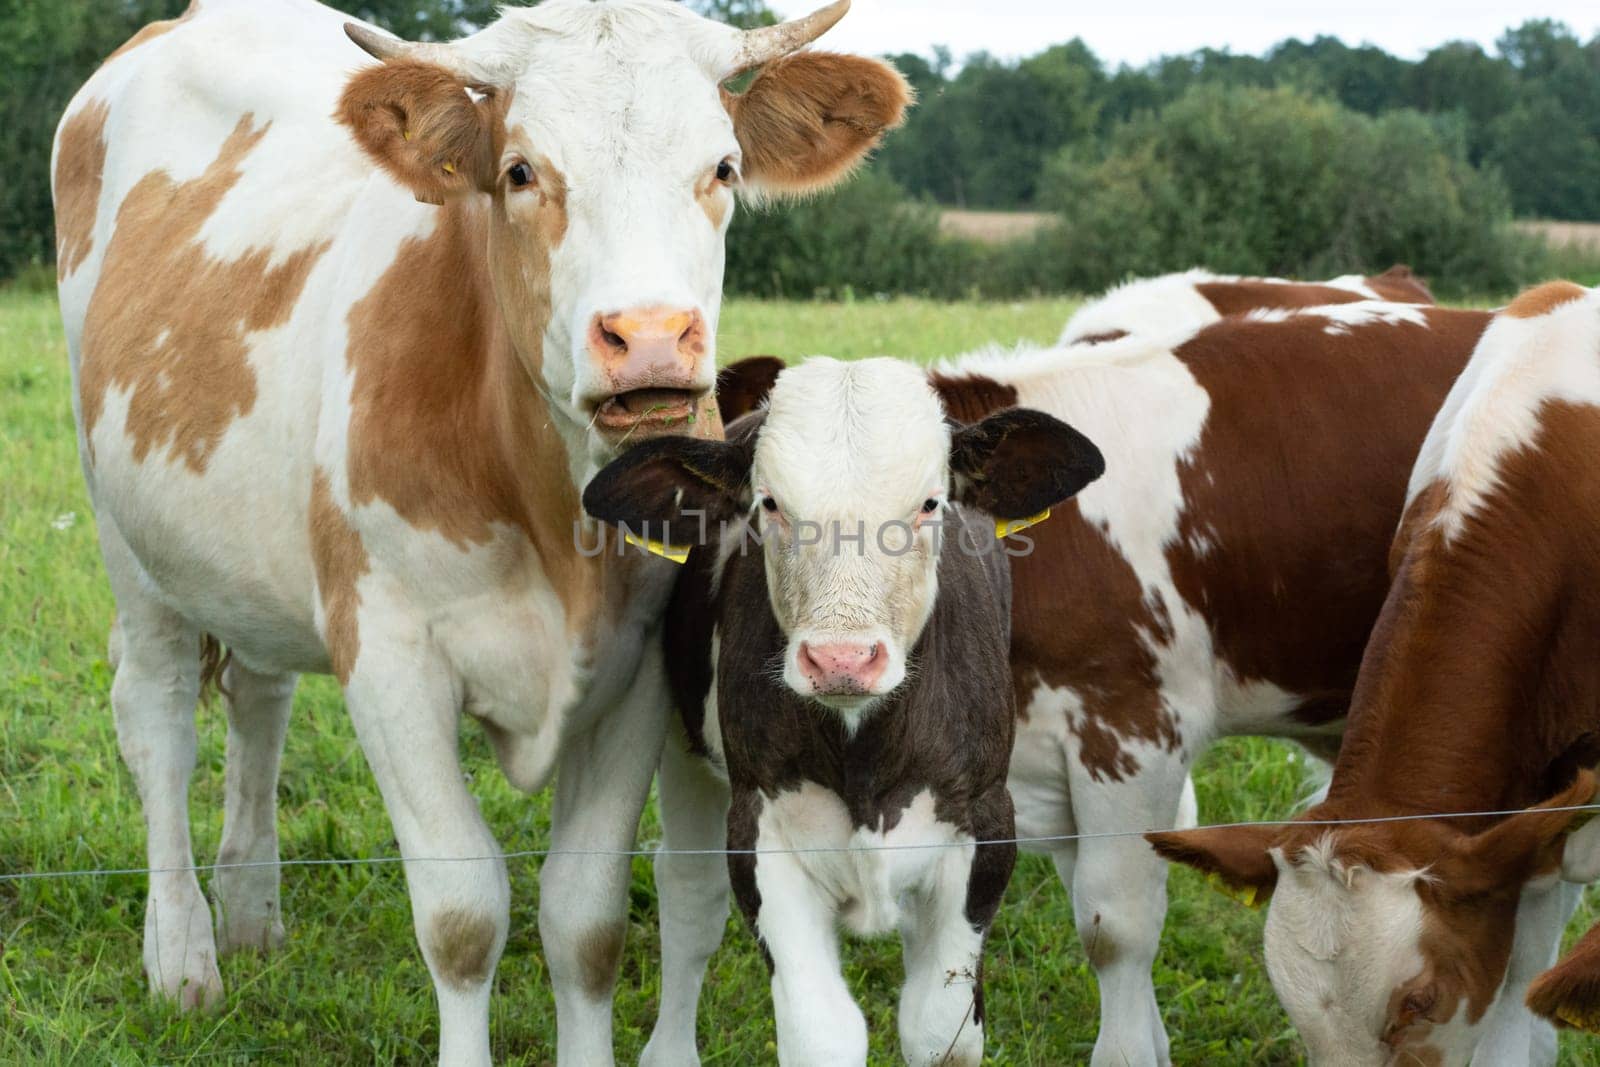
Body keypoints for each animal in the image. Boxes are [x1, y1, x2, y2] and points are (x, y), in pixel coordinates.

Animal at [53, 0, 915, 1062]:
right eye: (520, 171)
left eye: (722, 167)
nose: (651, 338)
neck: (552, 512)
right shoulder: (391, 657)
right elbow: (463, 915)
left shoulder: (638, 667)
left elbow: (584, 919)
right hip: (126, 532)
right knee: (160, 717)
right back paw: (183, 954)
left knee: (259, 698)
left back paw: (251, 913)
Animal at [579, 361, 1113, 1067]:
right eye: (769, 505)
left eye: (930, 503)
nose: (842, 658)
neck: (866, 757)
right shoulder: (761, 830)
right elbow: (822, 1031)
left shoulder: (985, 825)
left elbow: (939, 1029)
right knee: (689, 890)